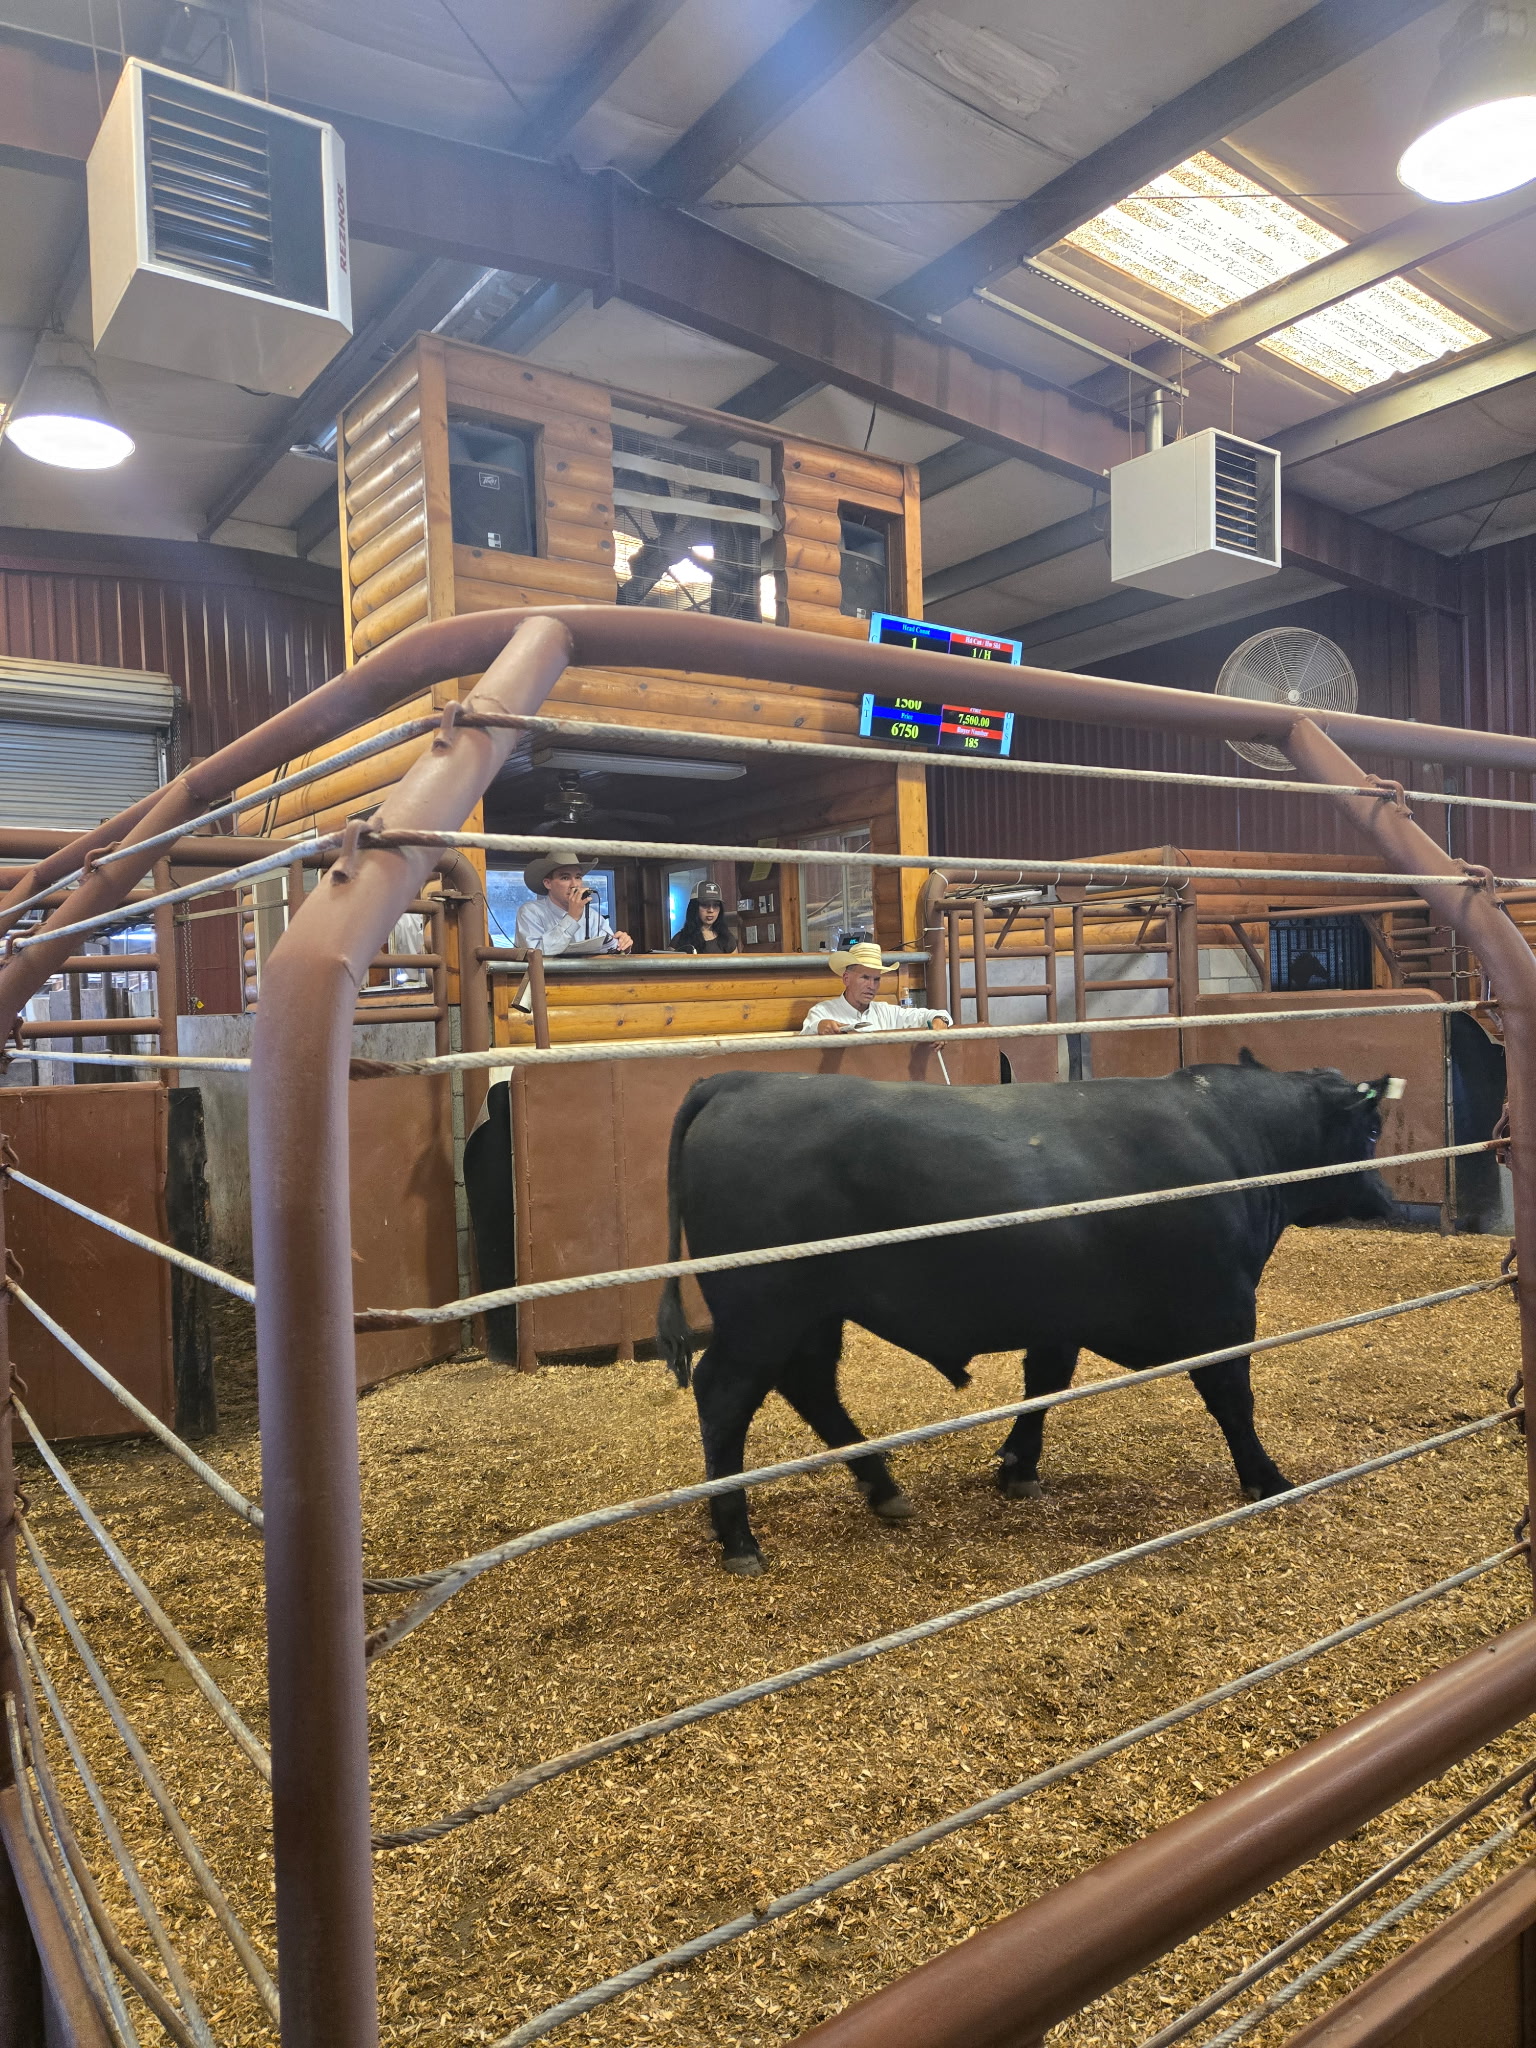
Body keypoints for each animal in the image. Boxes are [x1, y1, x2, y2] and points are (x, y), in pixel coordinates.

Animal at [657, 1056, 1400, 1574]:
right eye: (1370, 1128)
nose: (1387, 1199)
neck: (1229, 1140)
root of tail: (739, 1079)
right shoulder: (1221, 1307)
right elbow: (1232, 1397)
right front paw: (1265, 1478)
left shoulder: (1062, 1314)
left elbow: (1044, 1382)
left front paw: (1018, 1466)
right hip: (763, 1308)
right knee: (725, 1395)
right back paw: (738, 1537)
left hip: (812, 1312)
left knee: (811, 1386)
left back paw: (883, 1487)